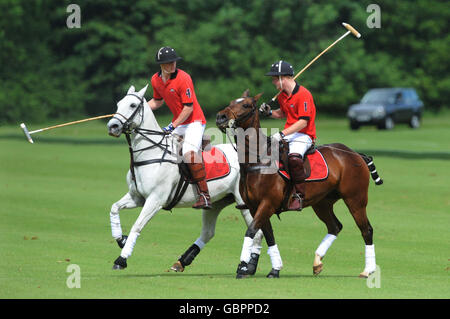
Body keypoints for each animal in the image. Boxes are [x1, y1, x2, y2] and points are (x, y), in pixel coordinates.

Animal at [106, 85, 282, 276]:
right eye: (118, 104)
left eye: (132, 105)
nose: (112, 126)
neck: (150, 153)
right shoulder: (137, 197)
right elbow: (114, 208)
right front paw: (121, 239)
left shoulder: (155, 199)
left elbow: (137, 226)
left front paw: (121, 259)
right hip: (217, 202)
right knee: (208, 232)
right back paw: (182, 261)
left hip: (245, 202)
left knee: (257, 232)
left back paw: (248, 267)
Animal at [216, 90, 382, 280]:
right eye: (231, 102)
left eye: (246, 105)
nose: (220, 117)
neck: (257, 159)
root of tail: (356, 154)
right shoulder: (254, 206)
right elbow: (268, 235)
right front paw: (275, 269)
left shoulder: (268, 203)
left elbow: (251, 231)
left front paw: (242, 268)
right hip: (322, 202)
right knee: (335, 226)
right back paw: (317, 262)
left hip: (355, 199)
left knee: (366, 229)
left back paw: (368, 270)